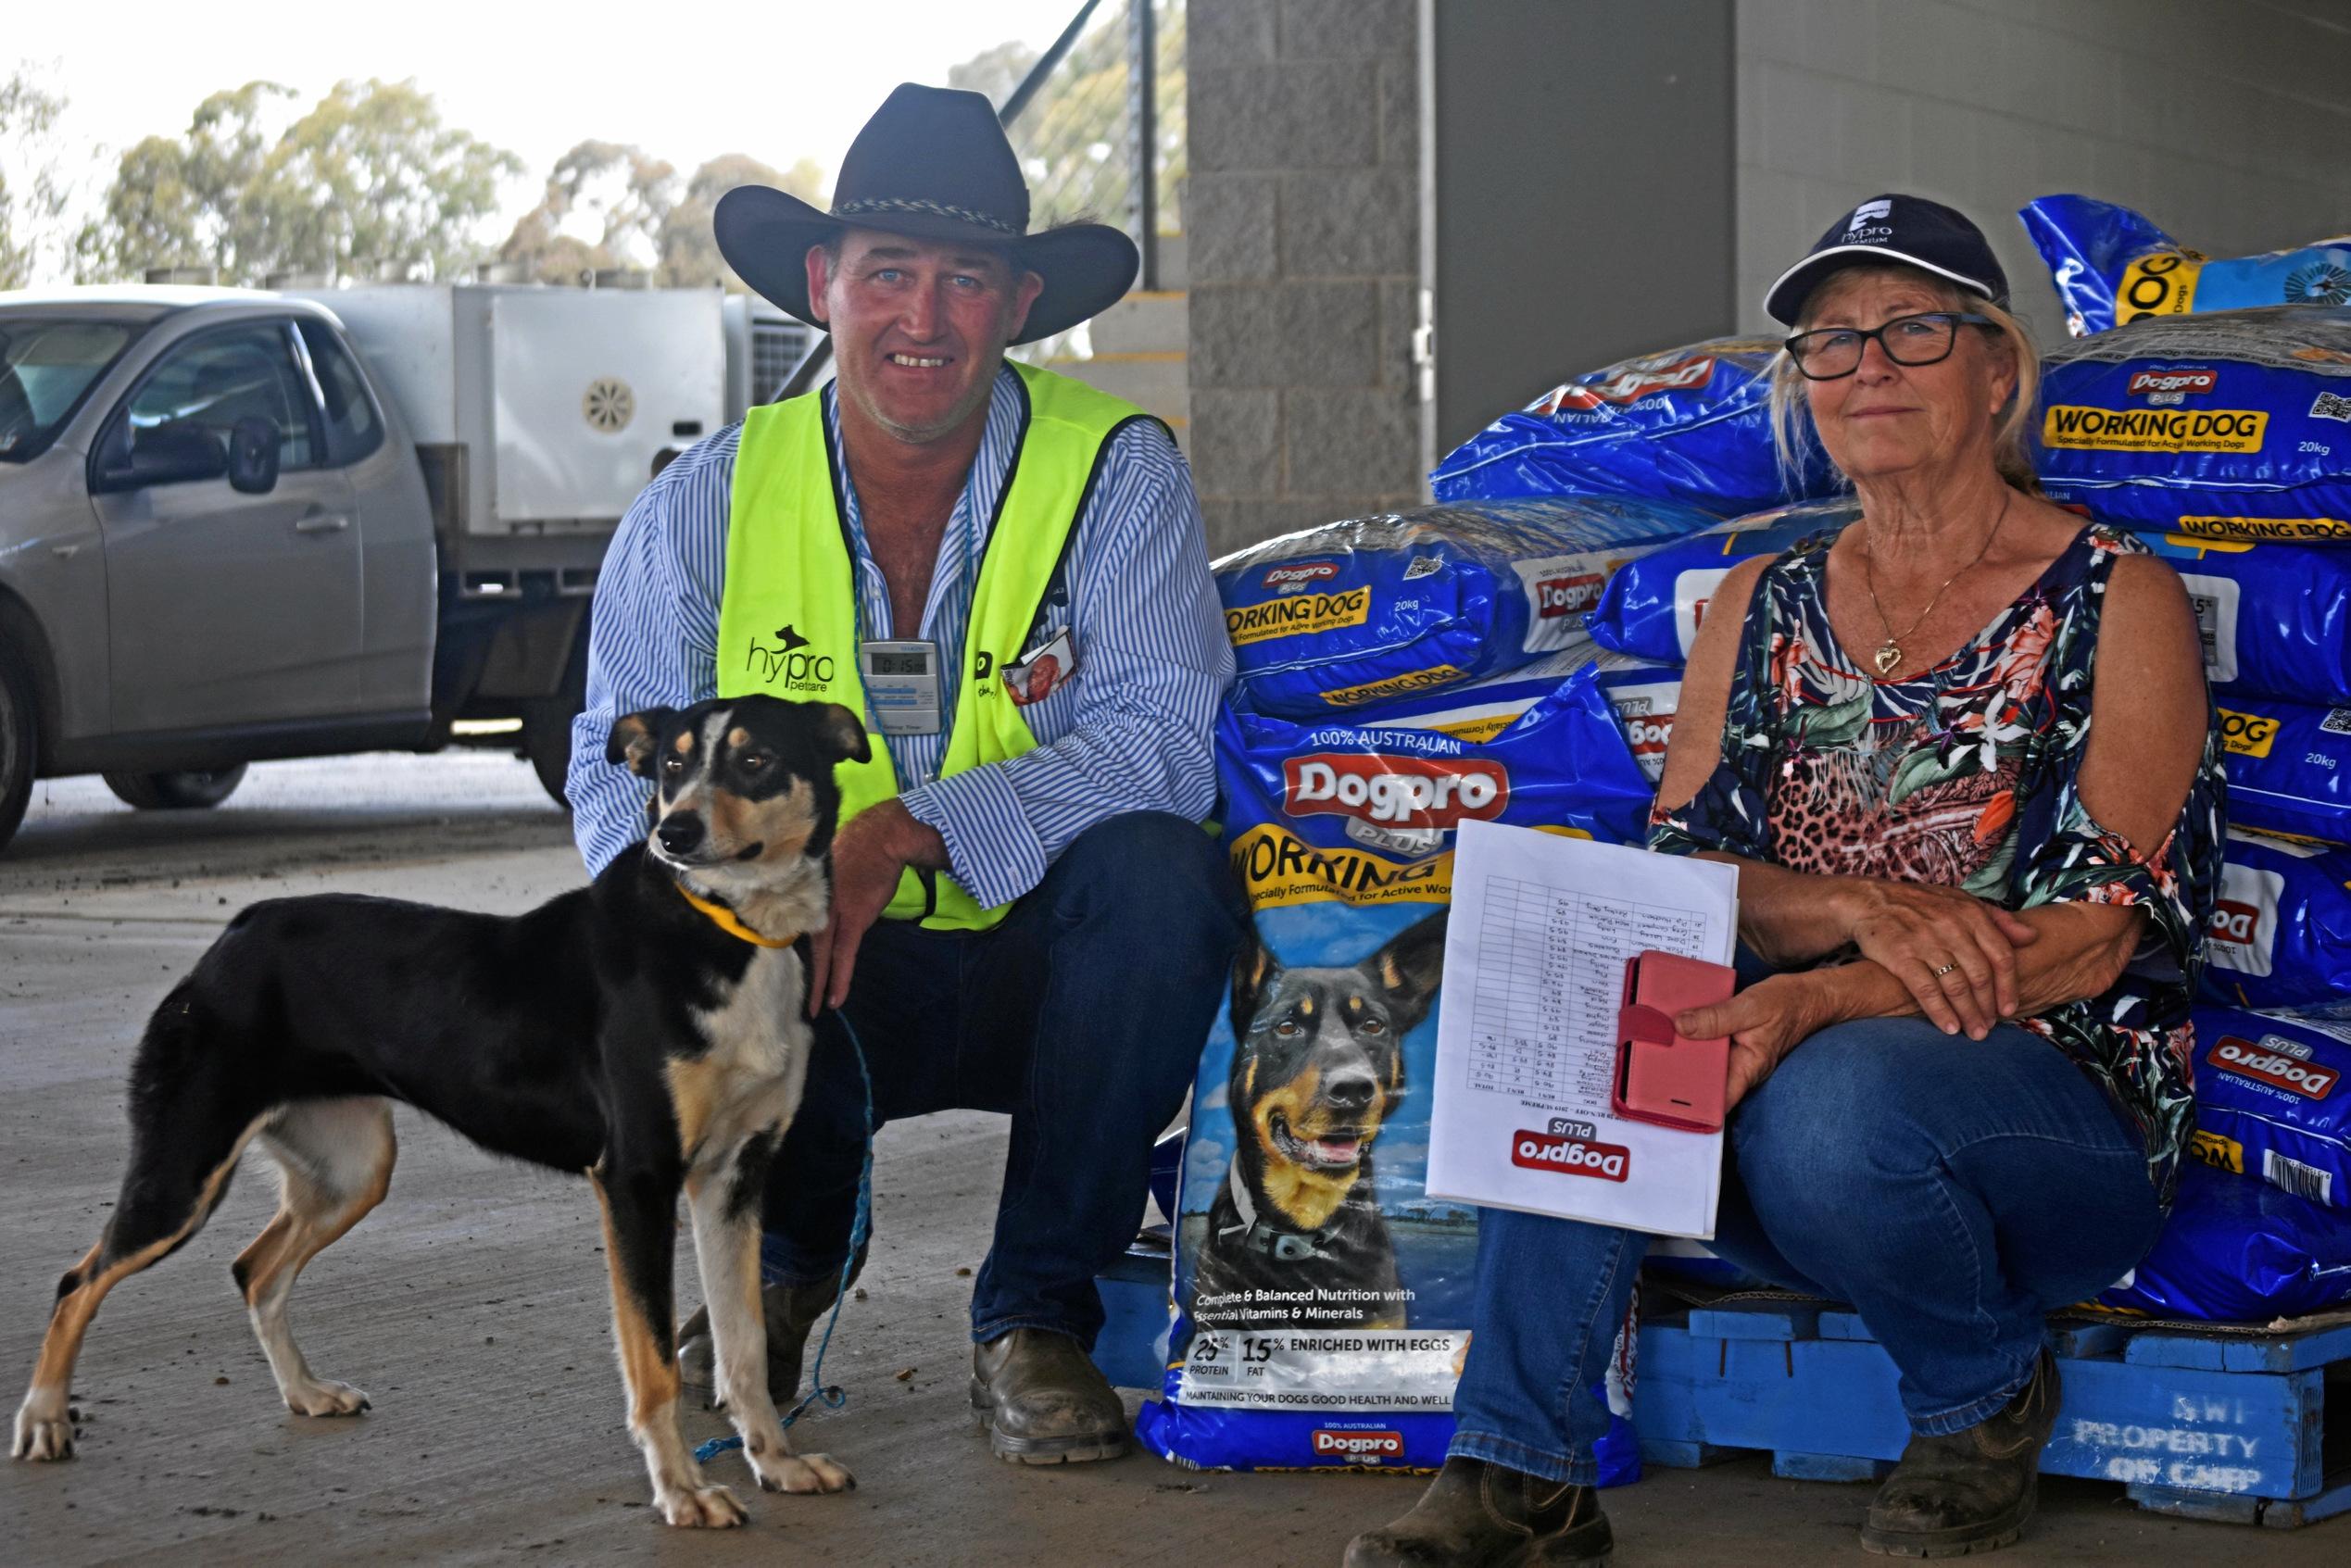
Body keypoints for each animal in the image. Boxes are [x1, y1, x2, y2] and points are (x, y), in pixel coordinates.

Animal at [13, 691, 860, 1523]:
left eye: (757, 760)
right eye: (672, 766)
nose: (673, 833)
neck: (728, 934)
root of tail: (235, 934)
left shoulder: (733, 1180)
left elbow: (743, 1347)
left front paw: (776, 1463)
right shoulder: (637, 1182)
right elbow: (652, 1367)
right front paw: (683, 1491)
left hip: (351, 1170)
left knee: (253, 1270)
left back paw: (305, 1391)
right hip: (183, 1171)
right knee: (77, 1282)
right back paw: (45, 1419)